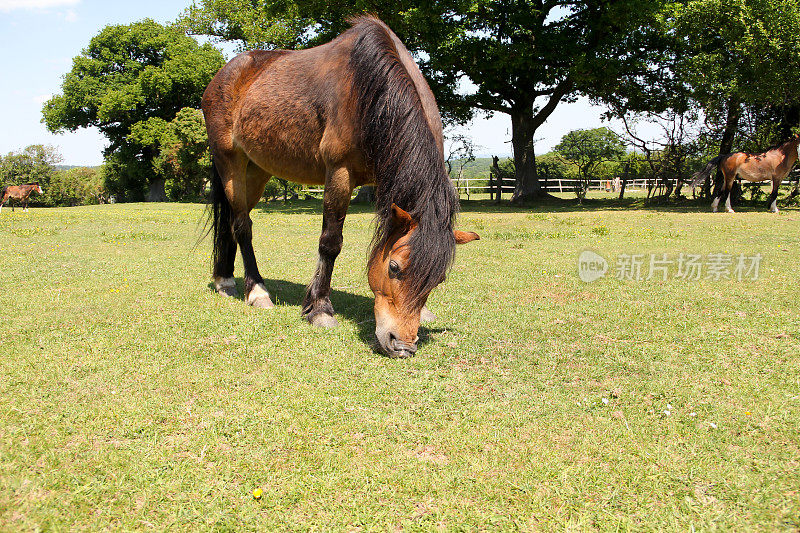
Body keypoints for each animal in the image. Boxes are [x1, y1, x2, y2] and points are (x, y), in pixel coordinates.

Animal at [200, 16, 478, 358]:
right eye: (394, 268)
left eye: (438, 279)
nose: (403, 346)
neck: (370, 91)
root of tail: (226, 74)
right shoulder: (339, 175)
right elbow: (330, 243)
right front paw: (319, 309)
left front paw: (423, 312)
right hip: (231, 163)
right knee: (242, 226)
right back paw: (257, 291)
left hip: (257, 171)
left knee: (229, 221)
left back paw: (225, 279)